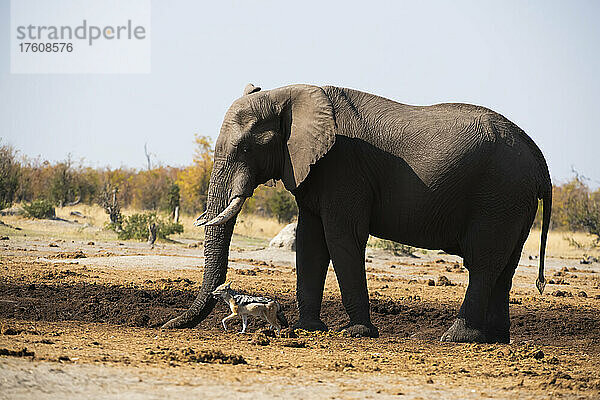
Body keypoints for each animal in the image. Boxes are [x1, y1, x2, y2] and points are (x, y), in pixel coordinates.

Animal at [162, 82, 552, 344]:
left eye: (245, 148)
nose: (163, 326)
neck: (289, 93)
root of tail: (538, 155)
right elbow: (310, 241)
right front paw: (306, 330)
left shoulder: (343, 167)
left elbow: (341, 238)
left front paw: (356, 332)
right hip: (513, 201)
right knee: (505, 266)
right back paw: (496, 338)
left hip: (499, 194)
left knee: (484, 263)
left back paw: (456, 338)